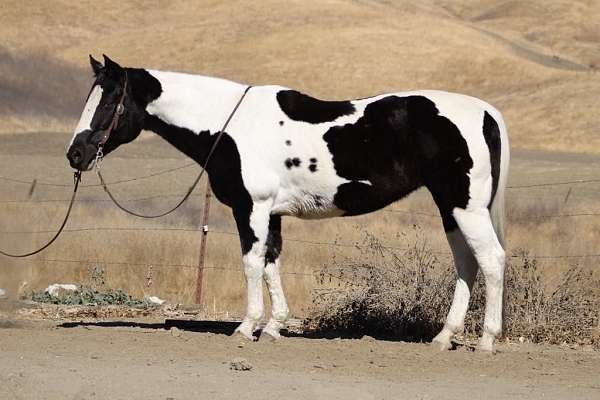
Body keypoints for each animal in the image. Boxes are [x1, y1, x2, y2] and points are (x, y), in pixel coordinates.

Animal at [70, 54, 510, 352]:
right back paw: (444, 336)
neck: (229, 124)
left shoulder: (251, 208)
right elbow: (271, 263)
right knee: (466, 263)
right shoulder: (271, 213)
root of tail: (486, 111)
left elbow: (251, 263)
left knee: (491, 260)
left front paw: (246, 327)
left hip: (465, 207)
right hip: (451, 208)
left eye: (108, 102)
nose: (75, 155)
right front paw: (274, 326)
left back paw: (486, 340)